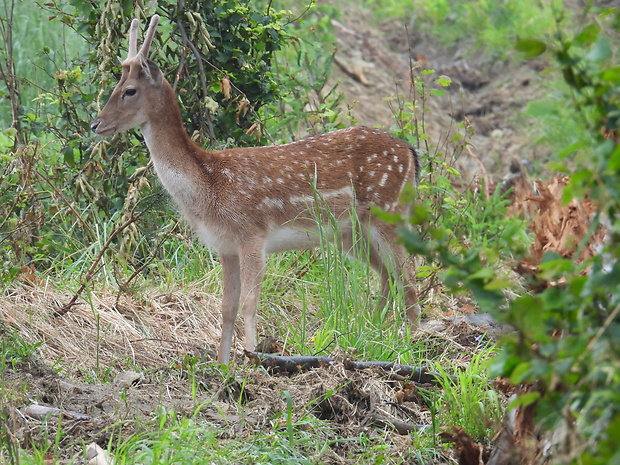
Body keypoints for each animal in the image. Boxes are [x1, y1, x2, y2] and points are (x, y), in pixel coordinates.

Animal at [91, 13, 422, 362]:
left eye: (129, 90)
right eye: (115, 87)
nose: (96, 124)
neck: (208, 186)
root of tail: (410, 153)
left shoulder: (251, 233)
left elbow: (250, 303)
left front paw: (252, 357)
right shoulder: (224, 246)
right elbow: (226, 307)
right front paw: (223, 364)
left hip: (389, 211)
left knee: (408, 277)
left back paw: (413, 342)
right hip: (352, 233)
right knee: (388, 276)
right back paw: (377, 333)